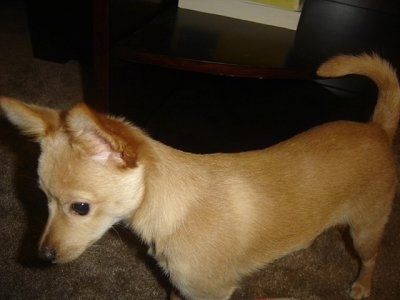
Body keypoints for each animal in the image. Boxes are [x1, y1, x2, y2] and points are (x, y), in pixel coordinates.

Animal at [0, 54, 400, 300]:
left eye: (80, 207)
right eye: (43, 199)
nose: (43, 256)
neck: (177, 210)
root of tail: (377, 129)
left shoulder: (211, 292)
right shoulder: (181, 288)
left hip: (365, 230)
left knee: (371, 259)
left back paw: (363, 285)